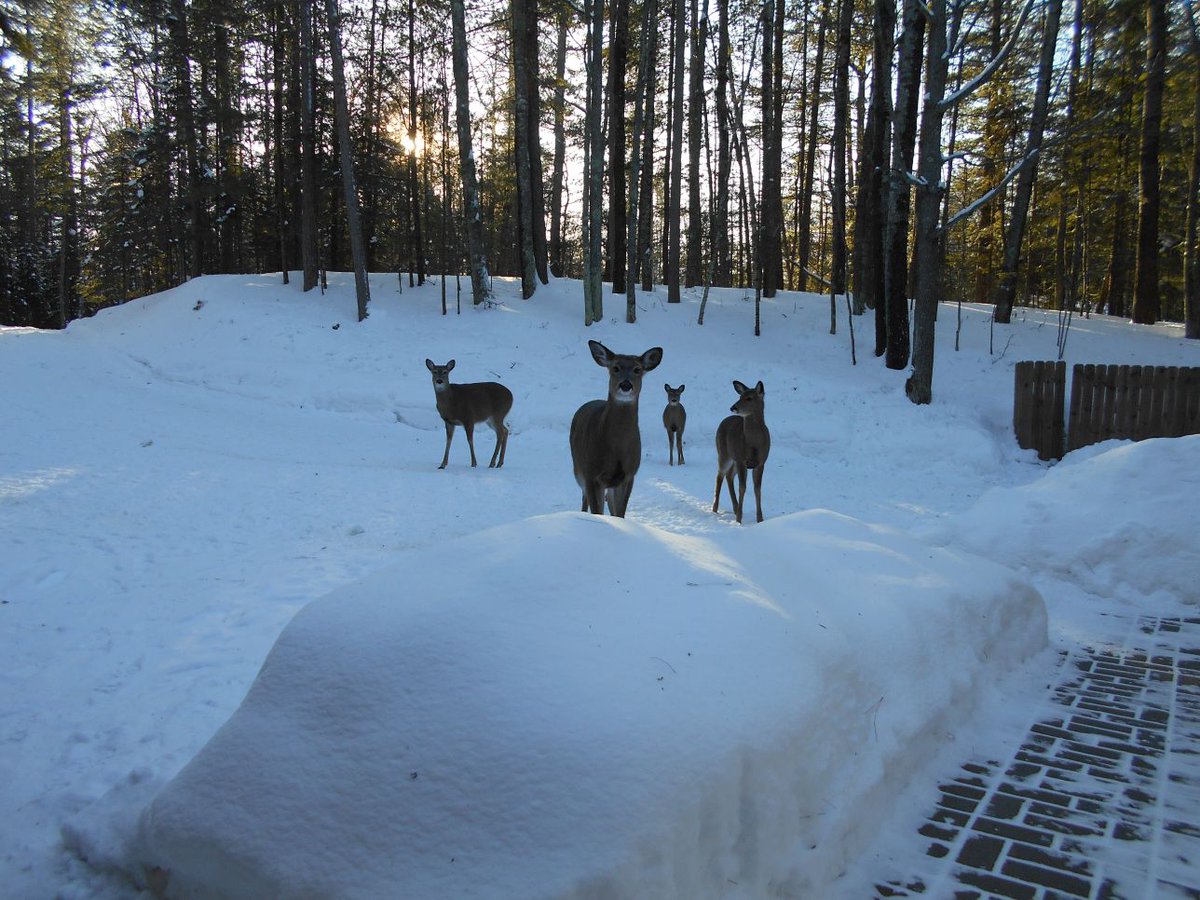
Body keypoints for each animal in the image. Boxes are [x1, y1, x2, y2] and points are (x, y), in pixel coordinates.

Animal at [570, 340, 663, 517]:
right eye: (615, 368)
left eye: (637, 369)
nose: (625, 385)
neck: (617, 447)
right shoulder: (591, 473)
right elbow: (597, 511)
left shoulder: (628, 475)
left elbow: (620, 513)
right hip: (578, 468)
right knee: (584, 499)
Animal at [713, 380, 770, 524]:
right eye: (740, 396)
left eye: (749, 398)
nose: (733, 407)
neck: (754, 443)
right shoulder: (741, 459)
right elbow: (742, 487)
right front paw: (739, 520)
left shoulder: (761, 462)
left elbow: (757, 489)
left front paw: (760, 519)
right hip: (724, 453)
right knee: (720, 475)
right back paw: (715, 508)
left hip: (733, 458)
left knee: (729, 475)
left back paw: (735, 508)